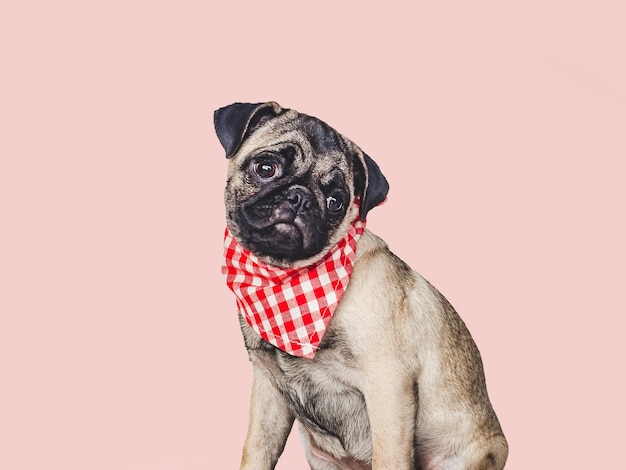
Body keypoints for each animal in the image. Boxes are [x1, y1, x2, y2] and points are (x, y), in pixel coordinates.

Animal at [214, 101, 508, 468]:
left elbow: (389, 456)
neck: (290, 281)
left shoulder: (388, 384)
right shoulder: (269, 387)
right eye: (266, 168)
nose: (299, 198)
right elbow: (257, 448)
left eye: (336, 202)